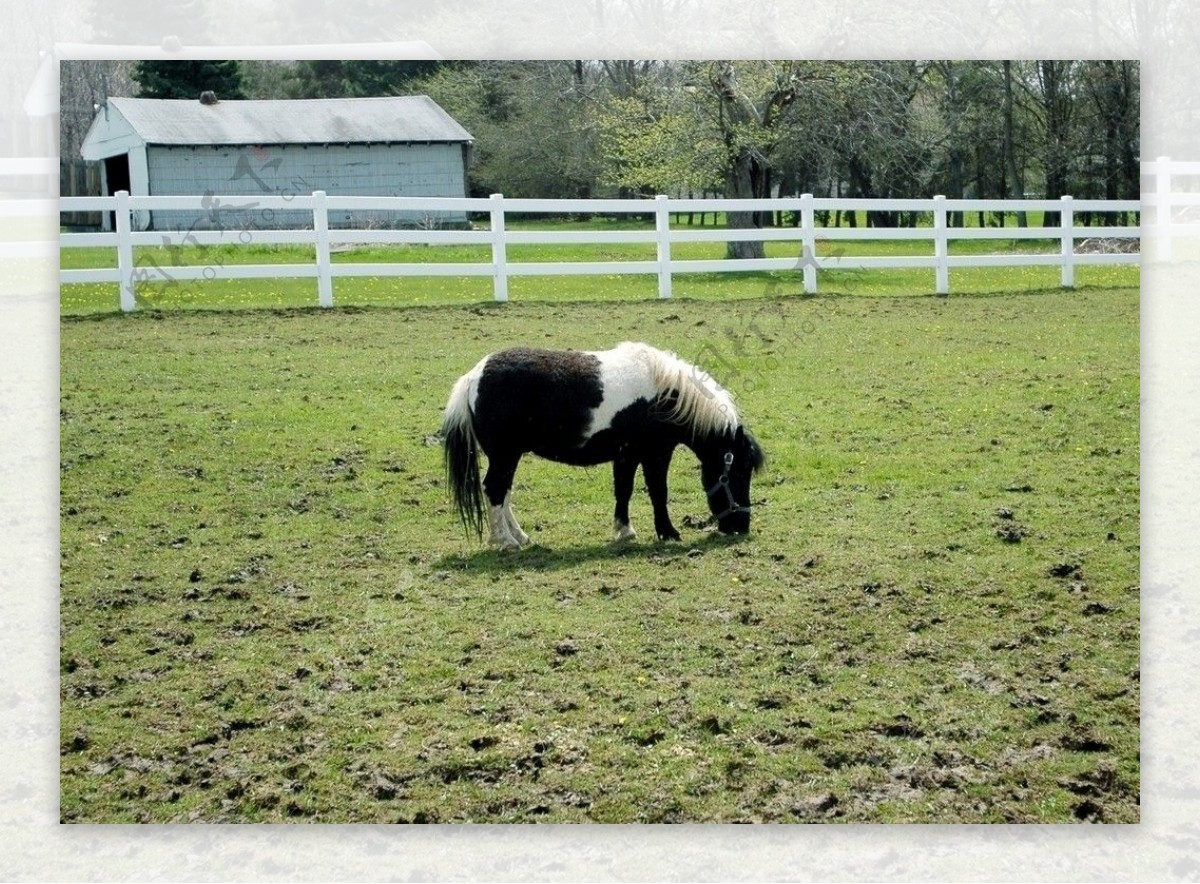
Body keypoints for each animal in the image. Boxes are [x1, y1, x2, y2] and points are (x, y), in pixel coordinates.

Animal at [444, 340, 768, 549]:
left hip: (508, 457)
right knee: (495, 490)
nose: (740, 527)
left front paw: (625, 531)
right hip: (505, 455)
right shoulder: (655, 453)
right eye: (739, 473)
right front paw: (668, 532)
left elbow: (623, 490)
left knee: (504, 493)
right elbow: (658, 492)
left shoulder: (627, 455)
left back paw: (521, 537)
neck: (664, 395)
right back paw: (505, 541)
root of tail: (473, 377)